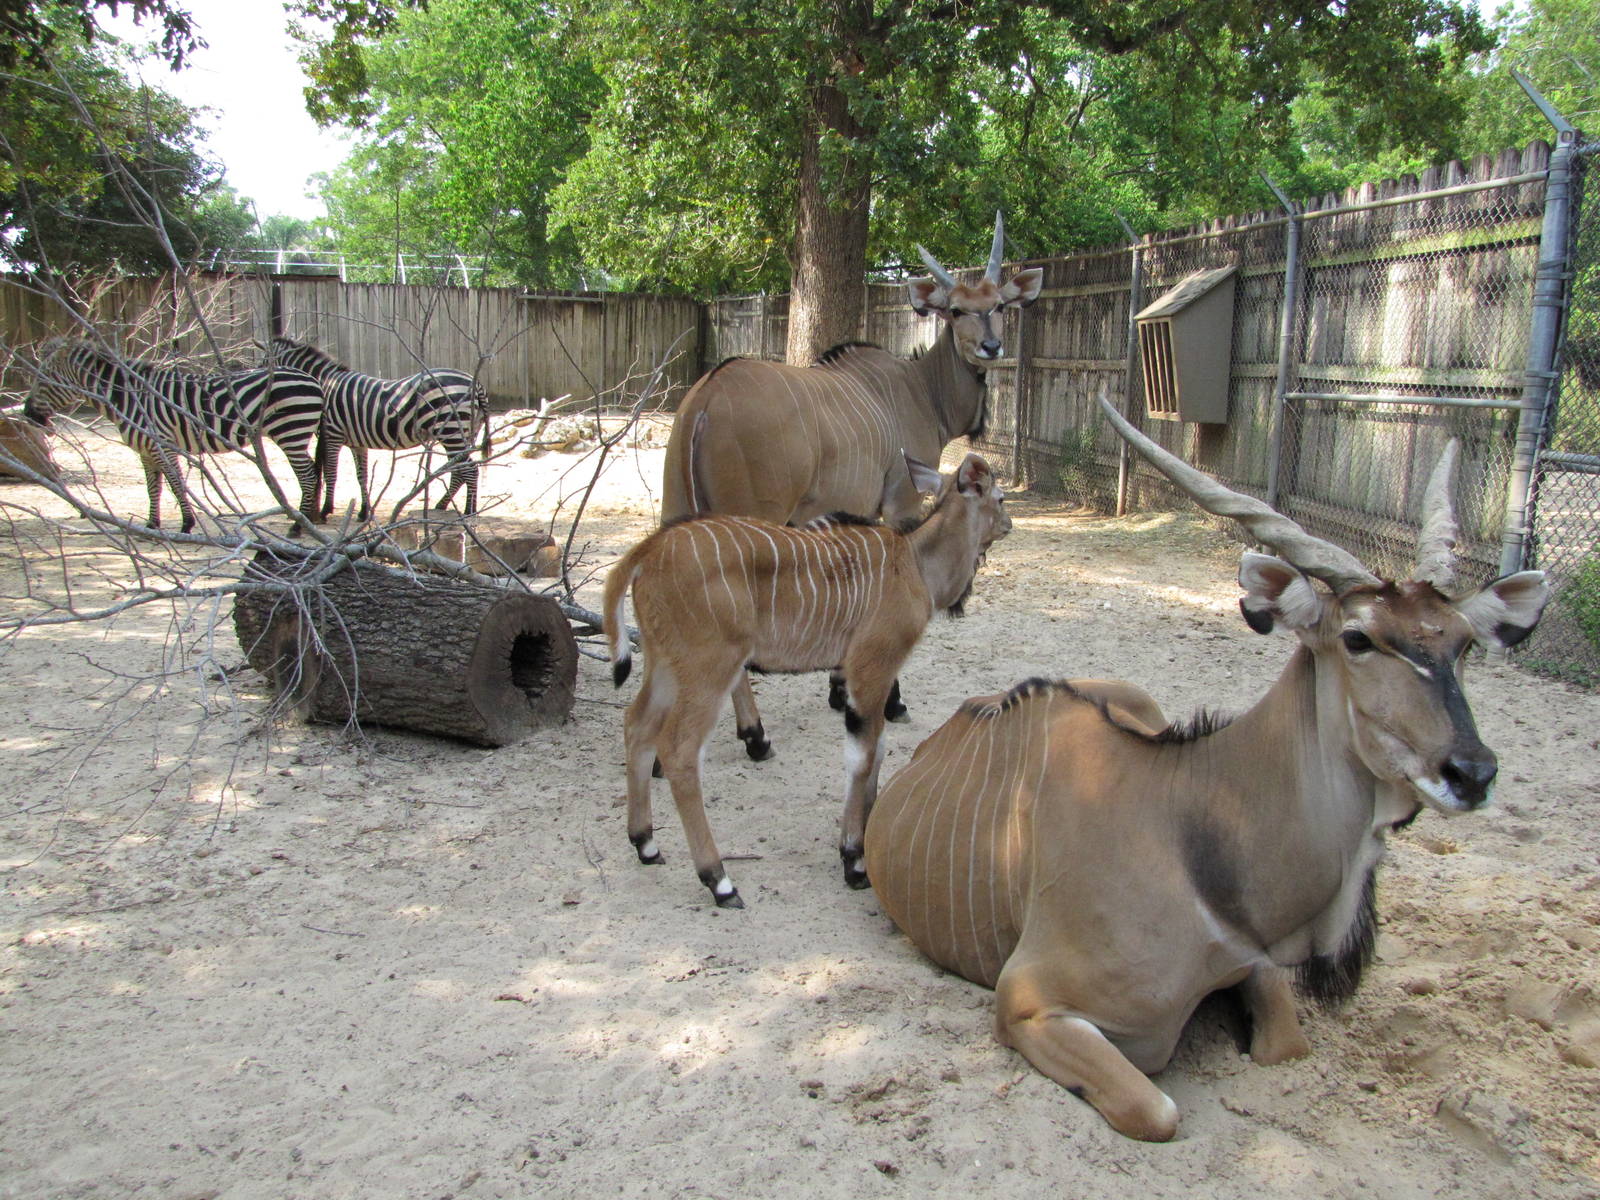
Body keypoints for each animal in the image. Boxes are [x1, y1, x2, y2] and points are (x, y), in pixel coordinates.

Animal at [23, 337, 324, 533]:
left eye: (44, 379)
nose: (27, 414)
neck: (126, 398)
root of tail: (313, 380)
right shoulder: (145, 449)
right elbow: (153, 487)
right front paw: (152, 524)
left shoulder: (163, 444)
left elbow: (175, 482)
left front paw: (186, 524)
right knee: (312, 473)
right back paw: (306, 519)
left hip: (291, 431)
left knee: (308, 476)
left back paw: (300, 526)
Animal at [266, 336, 489, 522]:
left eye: (263, 365)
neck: (326, 384)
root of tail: (475, 383)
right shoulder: (356, 442)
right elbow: (362, 475)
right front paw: (364, 512)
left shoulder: (332, 435)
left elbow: (331, 473)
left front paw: (325, 511)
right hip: (467, 432)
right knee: (459, 471)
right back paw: (442, 506)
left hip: (452, 431)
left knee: (470, 469)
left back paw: (469, 512)